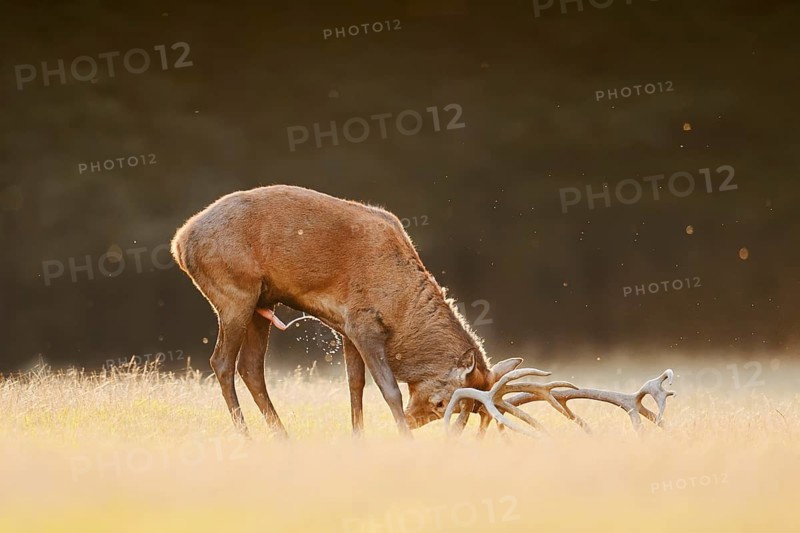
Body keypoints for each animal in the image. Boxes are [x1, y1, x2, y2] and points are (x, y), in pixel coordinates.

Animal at [170, 184, 522, 437]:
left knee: (251, 367)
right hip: (235, 293)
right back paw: (246, 435)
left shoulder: (347, 328)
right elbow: (389, 389)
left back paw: (282, 435)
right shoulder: (364, 323)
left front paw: (358, 438)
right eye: (440, 403)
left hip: (262, 303)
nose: (413, 421)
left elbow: (355, 385)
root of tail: (180, 242)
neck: (400, 308)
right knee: (221, 362)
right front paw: (403, 438)